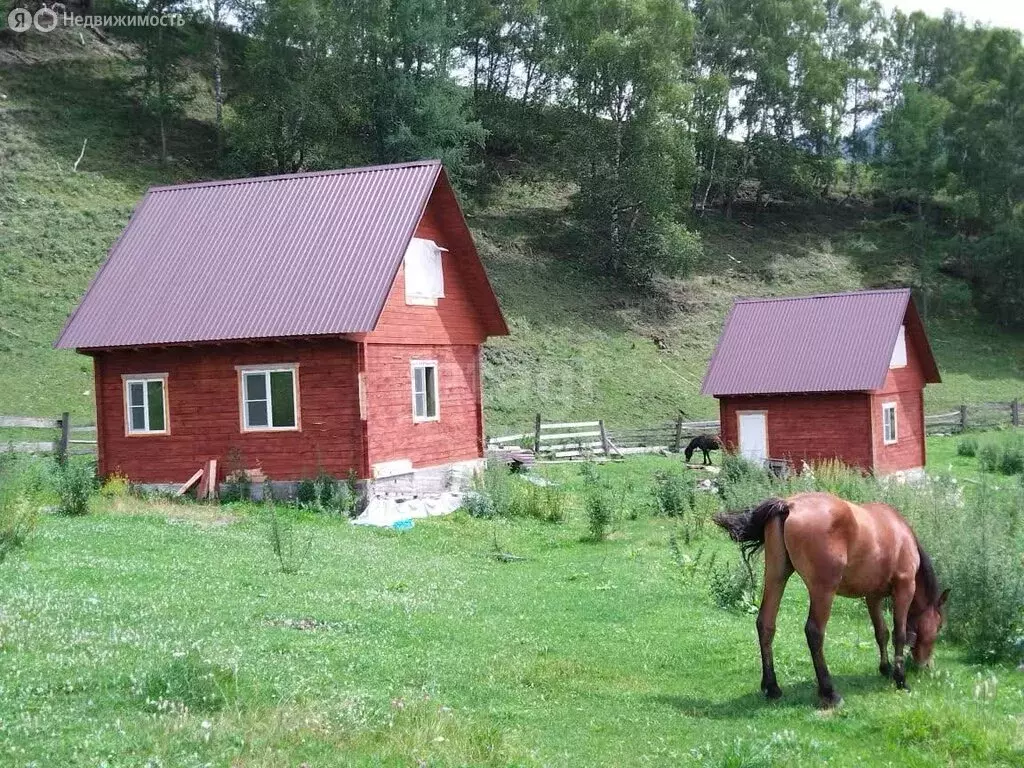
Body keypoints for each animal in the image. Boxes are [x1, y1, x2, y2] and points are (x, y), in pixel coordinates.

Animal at [716, 493, 946, 708]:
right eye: (939, 627)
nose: (926, 665)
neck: (899, 532)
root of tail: (788, 505)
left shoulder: (873, 597)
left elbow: (882, 633)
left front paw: (886, 668)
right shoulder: (904, 589)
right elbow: (899, 634)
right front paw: (900, 679)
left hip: (776, 577)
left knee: (766, 624)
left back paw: (772, 687)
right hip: (823, 591)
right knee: (814, 632)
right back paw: (829, 692)